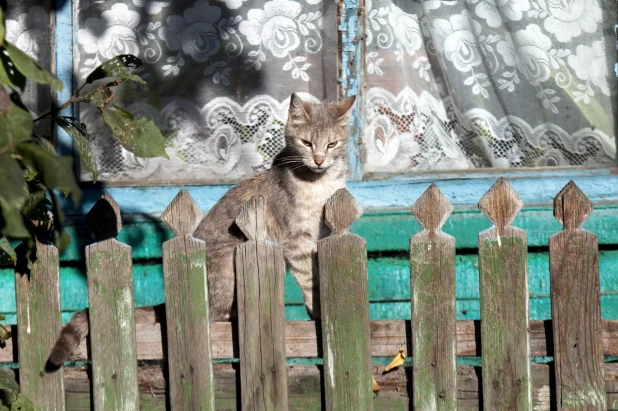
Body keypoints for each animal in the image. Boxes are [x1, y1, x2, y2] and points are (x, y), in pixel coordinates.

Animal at [45, 94, 354, 370]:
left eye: (332, 144)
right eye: (306, 143)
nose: (318, 160)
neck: (319, 182)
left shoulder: (317, 237)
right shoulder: (297, 240)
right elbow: (309, 279)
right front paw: (317, 309)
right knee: (215, 314)